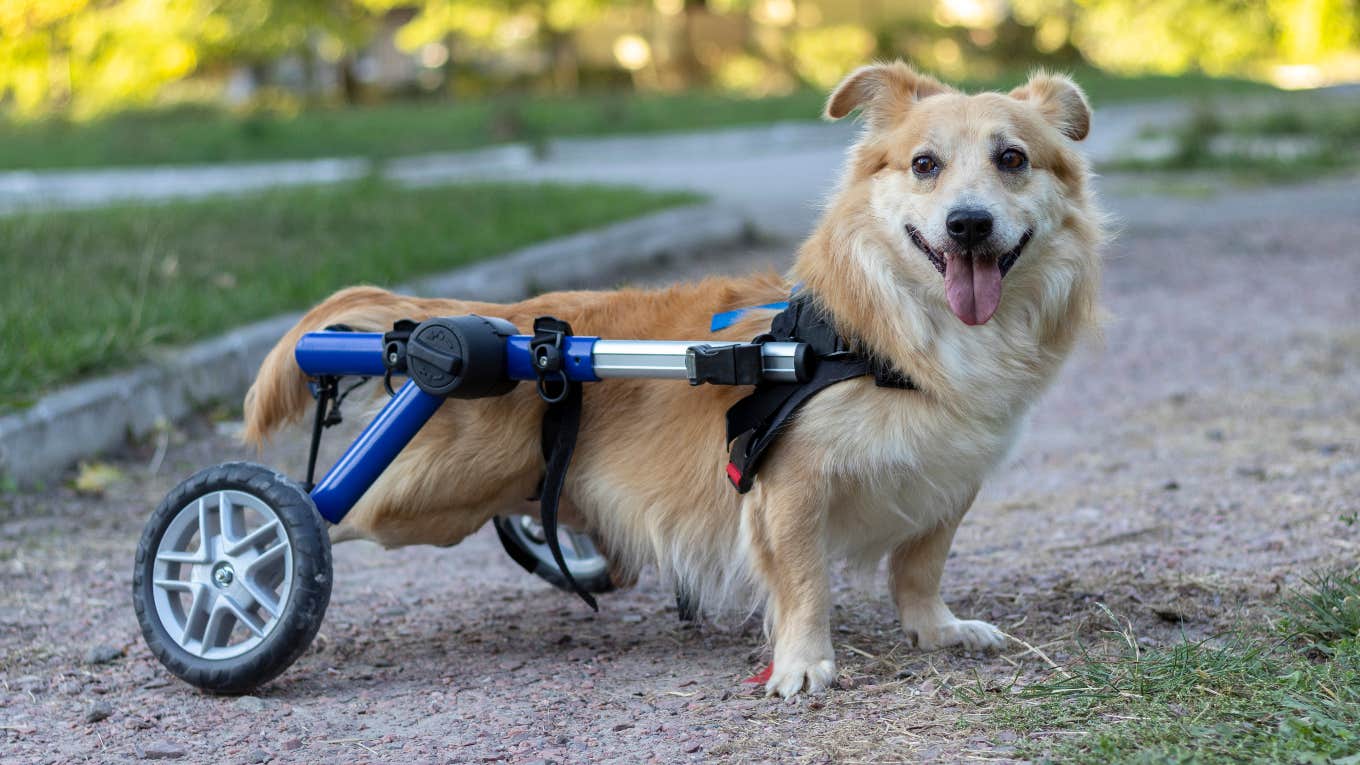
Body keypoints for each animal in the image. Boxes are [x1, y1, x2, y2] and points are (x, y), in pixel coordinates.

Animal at [247, 63, 1104, 696]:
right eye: (925, 165)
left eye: (1012, 159)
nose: (968, 224)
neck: (885, 339)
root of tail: (483, 323)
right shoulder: (789, 485)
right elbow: (805, 583)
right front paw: (803, 663)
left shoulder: (948, 480)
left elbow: (920, 565)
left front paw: (935, 628)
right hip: (428, 494)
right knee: (317, 510)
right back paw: (248, 561)